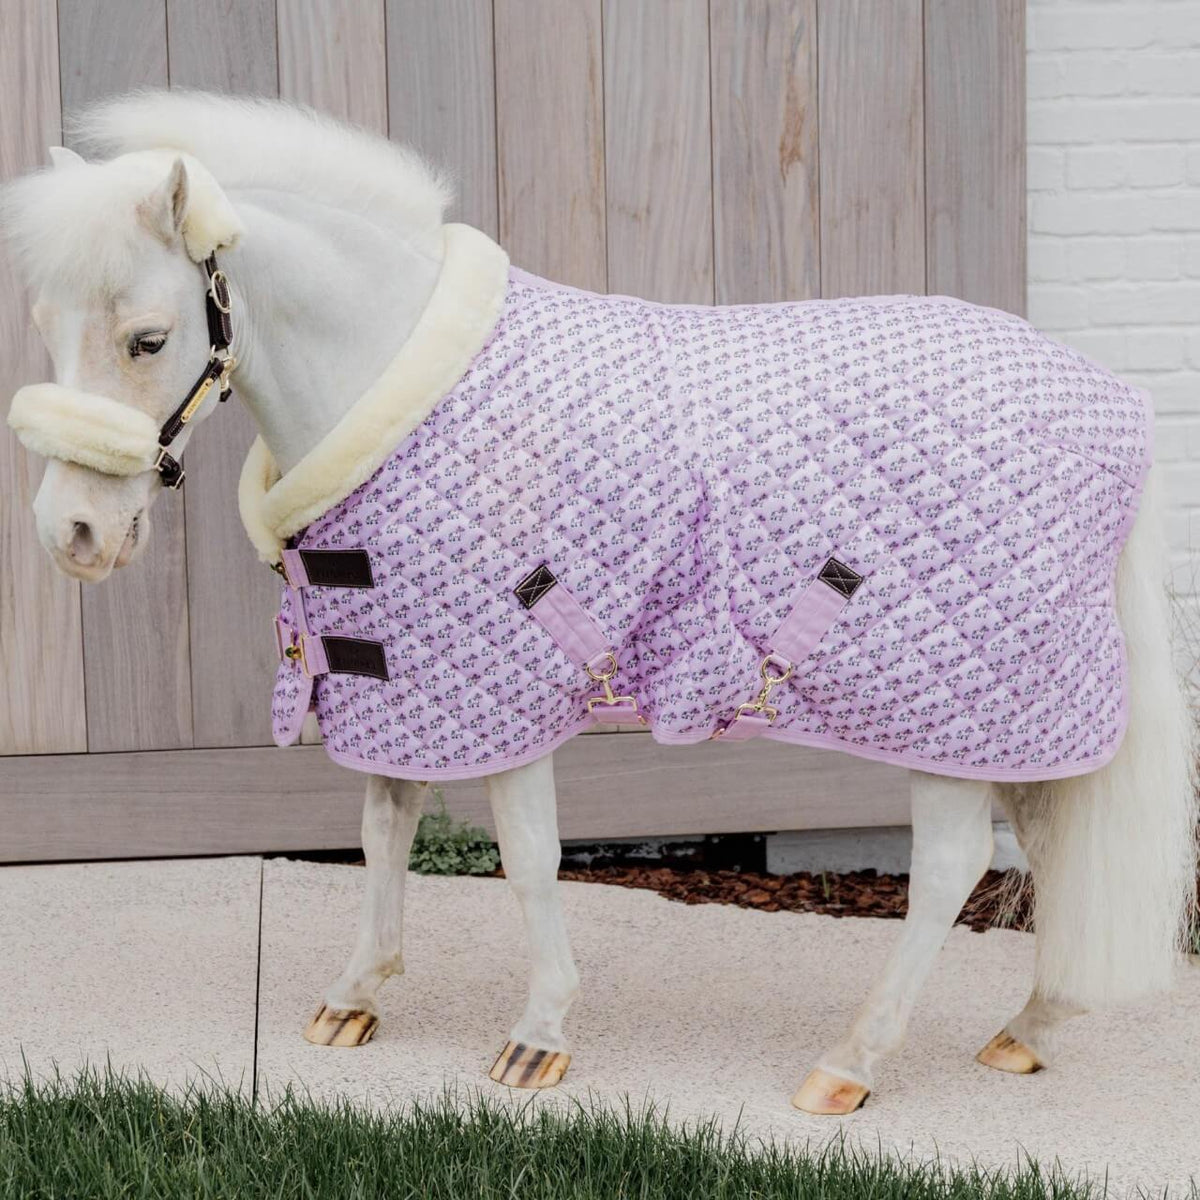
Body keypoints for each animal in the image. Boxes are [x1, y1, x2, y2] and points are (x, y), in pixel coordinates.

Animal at [3, 91, 1195, 1115]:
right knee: (1054, 846)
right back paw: (1029, 1028)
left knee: (950, 870)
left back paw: (850, 1066)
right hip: (1023, 714)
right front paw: (355, 998)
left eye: (149, 338)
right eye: (48, 325)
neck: (404, 384)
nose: (72, 536)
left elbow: (528, 860)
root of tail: (1113, 402)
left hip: (942, 713)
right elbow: (384, 830)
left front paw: (537, 1039)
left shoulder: (510, 693)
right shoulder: (403, 681)